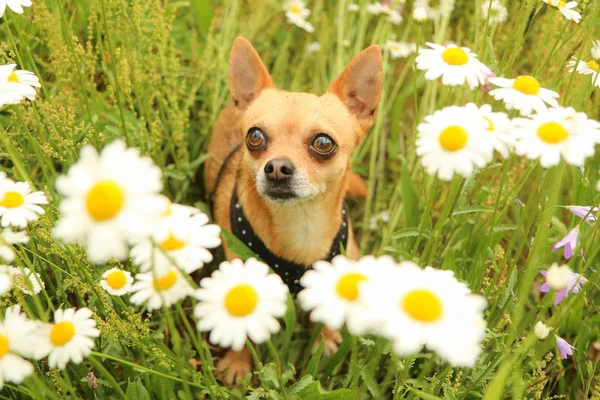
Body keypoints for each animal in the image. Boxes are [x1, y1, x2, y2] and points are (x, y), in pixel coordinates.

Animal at [203, 38, 380, 384]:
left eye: (323, 143)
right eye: (255, 136)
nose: (276, 167)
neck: (302, 225)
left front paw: (325, 339)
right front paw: (238, 364)